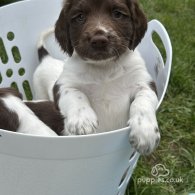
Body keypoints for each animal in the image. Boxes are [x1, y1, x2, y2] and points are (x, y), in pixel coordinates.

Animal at [34, 0, 161, 155]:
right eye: (80, 17)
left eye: (117, 14)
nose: (99, 40)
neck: (104, 68)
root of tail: (46, 58)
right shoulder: (62, 85)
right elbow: (75, 94)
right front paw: (83, 120)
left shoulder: (144, 83)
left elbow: (142, 101)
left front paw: (145, 132)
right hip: (39, 91)